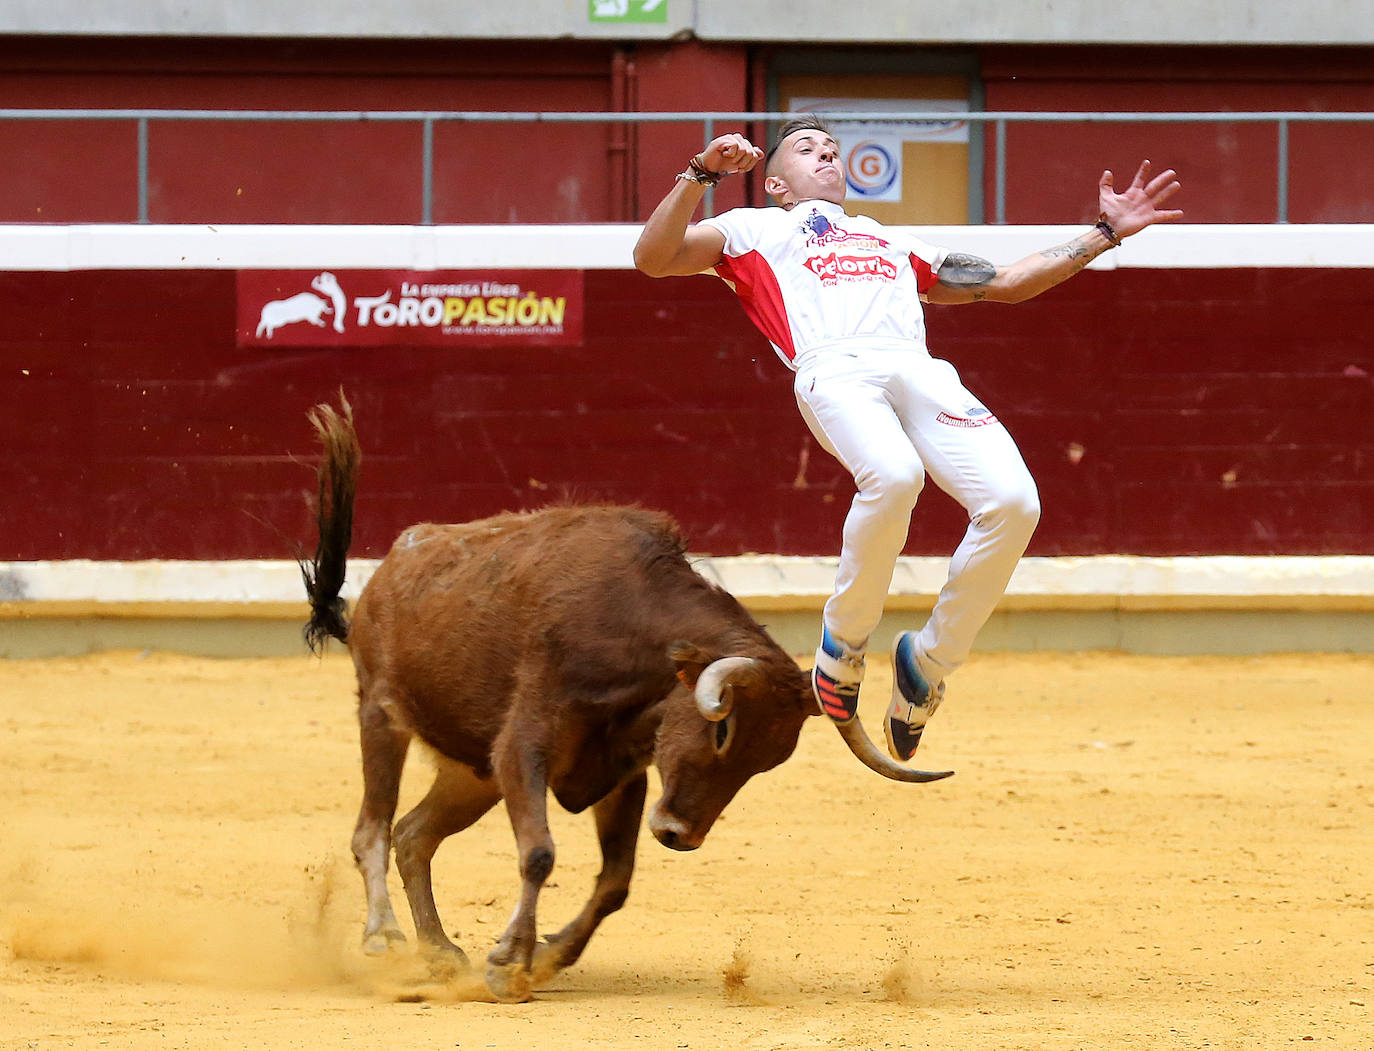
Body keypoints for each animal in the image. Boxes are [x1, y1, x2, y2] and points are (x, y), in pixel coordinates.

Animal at [298, 398, 945, 1000]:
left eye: (768, 761)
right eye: (722, 731)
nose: (680, 835)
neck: (633, 630)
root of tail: (383, 576)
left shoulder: (620, 774)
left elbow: (615, 882)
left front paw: (546, 955)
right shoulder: (523, 747)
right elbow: (540, 853)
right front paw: (510, 962)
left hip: (471, 773)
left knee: (413, 837)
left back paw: (439, 953)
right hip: (382, 719)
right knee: (373, 831)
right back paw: (384, 937)